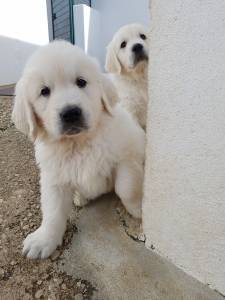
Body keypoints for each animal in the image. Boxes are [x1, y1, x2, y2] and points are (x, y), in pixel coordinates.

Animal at [11, 41, 146, 258]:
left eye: (81, 82)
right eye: (44, 91)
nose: (71, 113)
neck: (78, 142)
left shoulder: (127, 157)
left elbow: (126, 188)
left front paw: (139, 210)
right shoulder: (53, 176)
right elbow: (52, 210)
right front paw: (44, 239)